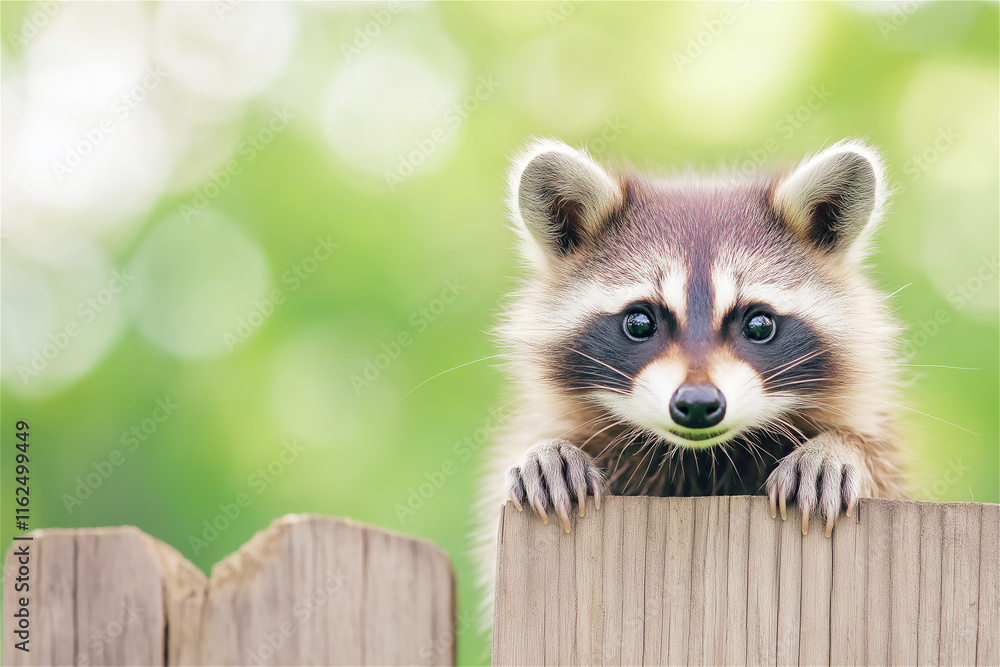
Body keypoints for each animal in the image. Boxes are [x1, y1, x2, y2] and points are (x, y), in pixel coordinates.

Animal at [477, 138, 907, 614]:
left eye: (759, 325)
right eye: (640, 323)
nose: (698, 404)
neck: (701, 459)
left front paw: (837, 448)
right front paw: (548, 450)